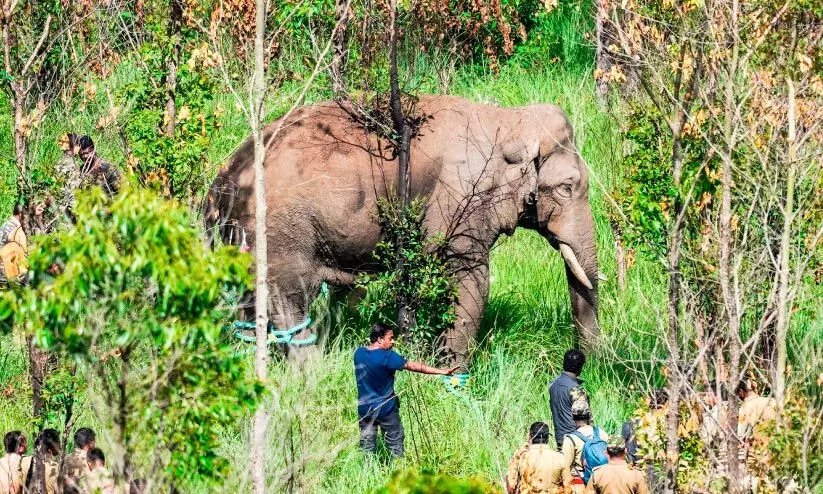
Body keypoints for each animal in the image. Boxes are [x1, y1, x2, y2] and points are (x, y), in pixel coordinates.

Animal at [206, 94, 600, 368]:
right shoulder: (460, 197)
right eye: (567, 187)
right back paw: (309, 371)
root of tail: (221, 184)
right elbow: (469, 277)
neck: (508, 119)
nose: (587, 363)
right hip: (282, 234)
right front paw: (453, 378)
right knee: (290, 299)